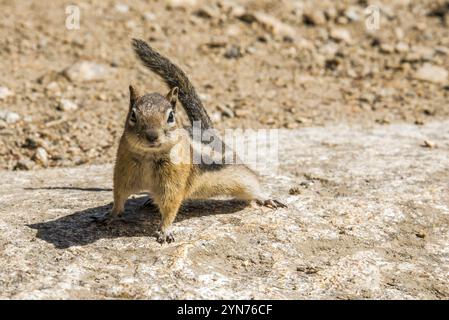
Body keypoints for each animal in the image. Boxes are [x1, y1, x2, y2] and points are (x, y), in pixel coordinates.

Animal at [98, 38, 288, 242]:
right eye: (133, 115)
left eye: (171, 116)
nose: (152, 135)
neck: (149, 156)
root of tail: (206, 130)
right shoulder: (123, 172)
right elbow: (119, 197)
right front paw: (110, 215)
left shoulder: (173, 183)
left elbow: (171, 206)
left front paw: (165, 230)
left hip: (238, 176)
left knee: (252, 183)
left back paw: (265, 197)